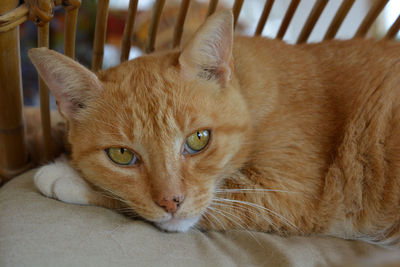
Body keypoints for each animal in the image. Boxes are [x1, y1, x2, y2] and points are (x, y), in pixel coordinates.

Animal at [28, 10, 400, 248]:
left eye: (198, 139)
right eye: (121, 155)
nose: (171, 202)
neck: (248, 96)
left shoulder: (289, 194)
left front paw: (65, 175)